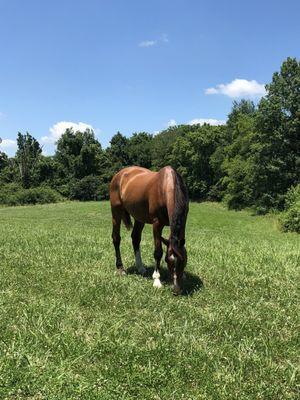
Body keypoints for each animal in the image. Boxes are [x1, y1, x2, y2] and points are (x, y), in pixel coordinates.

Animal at [109, 166, 189, 294]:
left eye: (183, 261)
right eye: (167, 261)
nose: (176, 289)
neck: (167, 186)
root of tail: (120, 174)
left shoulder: (184, 221)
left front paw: (185, 276)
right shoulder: (157, 224)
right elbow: (158, 252)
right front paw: (157, 280)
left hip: (139, 217)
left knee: (135, 238)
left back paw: (140, 267)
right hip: (116, 212)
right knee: (116, 238)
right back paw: (120, 268)